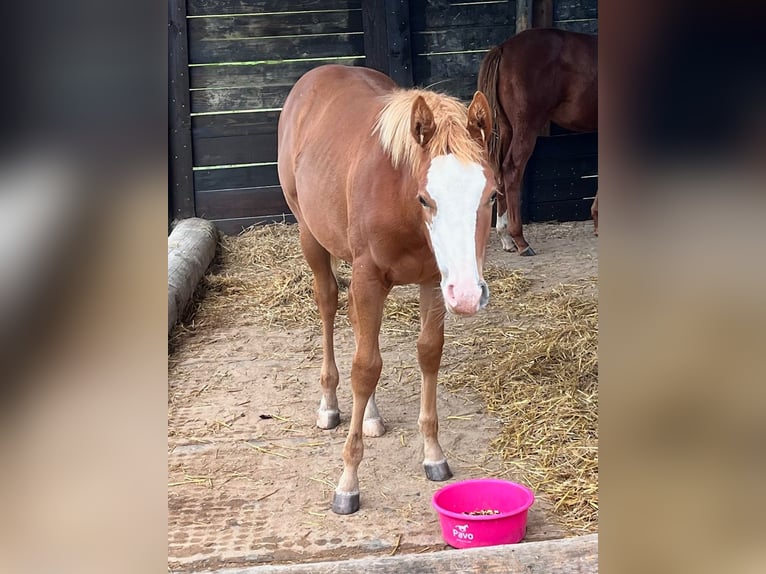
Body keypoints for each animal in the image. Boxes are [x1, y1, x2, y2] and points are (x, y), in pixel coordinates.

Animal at [278, 65, 495, 514]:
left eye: (491, 196)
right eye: (425, 198)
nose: (469, 294)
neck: (399, 198)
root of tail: (316, 75)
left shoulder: (434, 280)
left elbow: (427, 353)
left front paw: (433, 454)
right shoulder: (368, 276)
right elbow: (365, 368)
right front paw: (347, 483)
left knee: (357, 323)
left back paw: (372, 416)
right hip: (311, 237)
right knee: (328, 303)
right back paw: (329, 405)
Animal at [478, 28, 598, 255]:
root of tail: (504, 48)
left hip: (507, 129)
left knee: (498, 171)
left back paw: (506, 237)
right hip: (526, 128)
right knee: (512, 169)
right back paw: (520, 241)